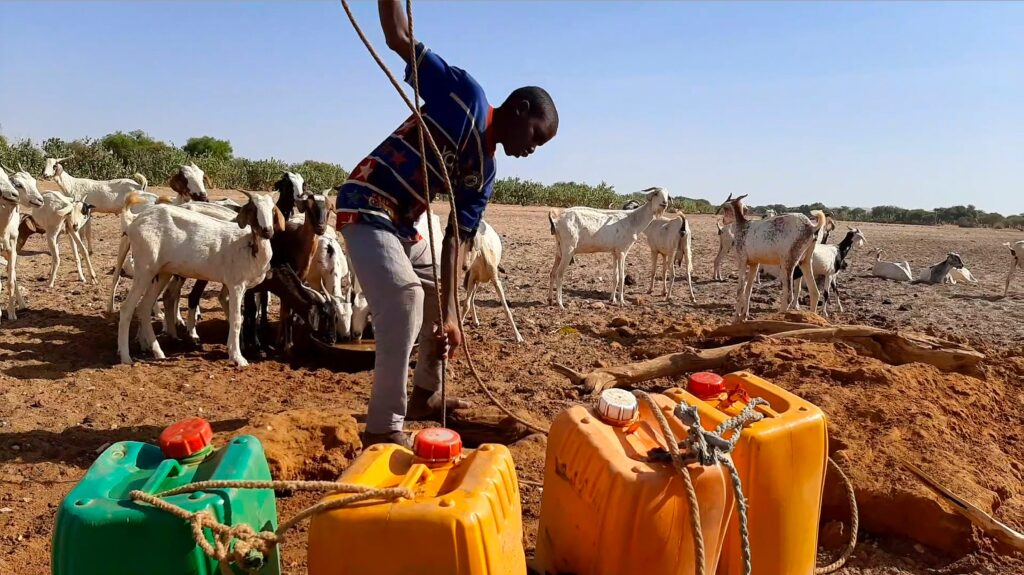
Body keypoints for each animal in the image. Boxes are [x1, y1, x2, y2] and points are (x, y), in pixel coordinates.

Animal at [115, 190, 280, 364]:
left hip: (162, 273)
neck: (247, 247)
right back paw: (126, 357)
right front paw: (238, 358)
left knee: (144, 307)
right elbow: (236, 319)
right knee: (127, 308)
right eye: (254, 210)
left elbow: (240, 317)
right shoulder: (236, 285)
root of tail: (134, 222)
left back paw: (158, 352)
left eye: (272, 210)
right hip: (144, 270)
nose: (267, 231)